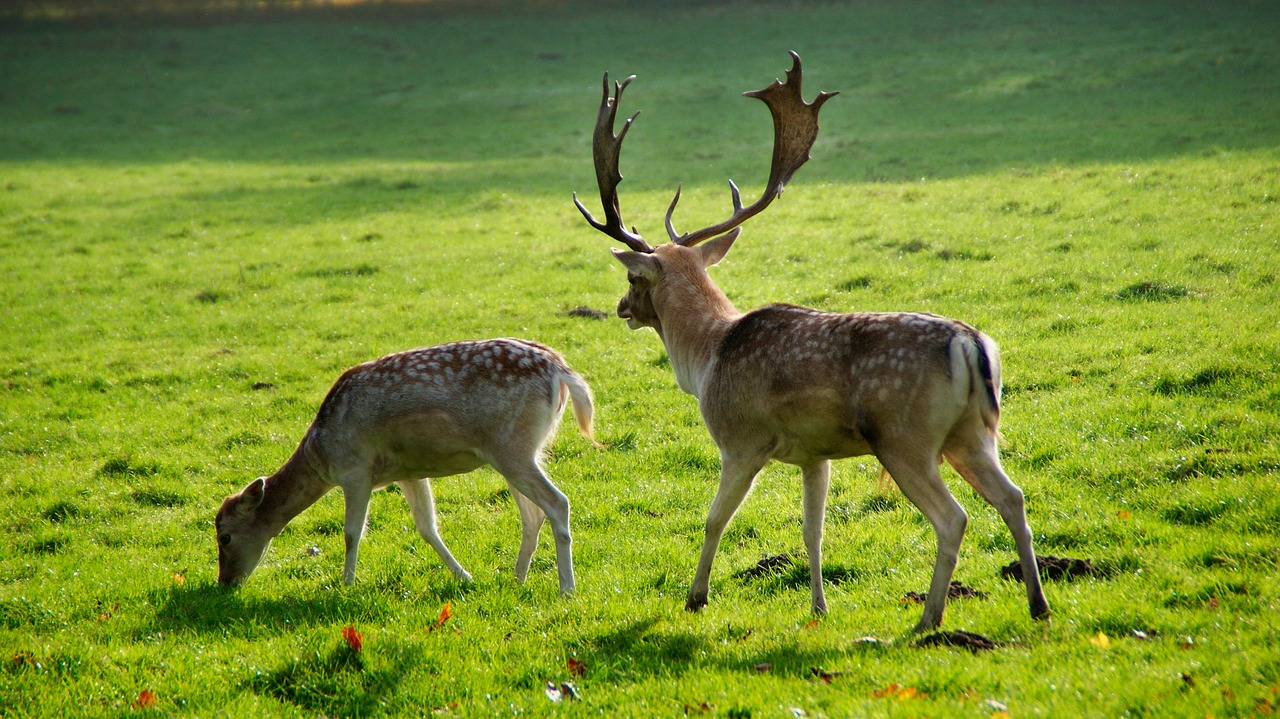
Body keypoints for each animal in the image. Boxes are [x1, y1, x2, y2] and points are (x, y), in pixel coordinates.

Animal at [217, 337, 596, 591]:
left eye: (224, 537)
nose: (225, 583)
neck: (322, 454)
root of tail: (562, 371)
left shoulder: (356, 470)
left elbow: (352, 532)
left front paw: (346, 584)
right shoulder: (408, 473)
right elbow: (427, 527)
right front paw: (466, 577)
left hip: (512, 448)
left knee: (557, 502)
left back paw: (567, 588)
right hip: (521, 451)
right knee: (533, 514)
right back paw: (516, 579)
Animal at [576, 53, 1044, 629]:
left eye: (632, 277)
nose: (622, 308)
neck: (707, 357)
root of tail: (972, 344)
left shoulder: (740, 440)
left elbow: (713, 520)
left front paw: (695, 596)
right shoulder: (814, 455)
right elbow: (812, 530)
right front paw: (819, 606)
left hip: (903, 437)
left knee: (953, 518)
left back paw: (927, 620)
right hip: (972, 434)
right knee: (1015, 498)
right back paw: (1037, 604)